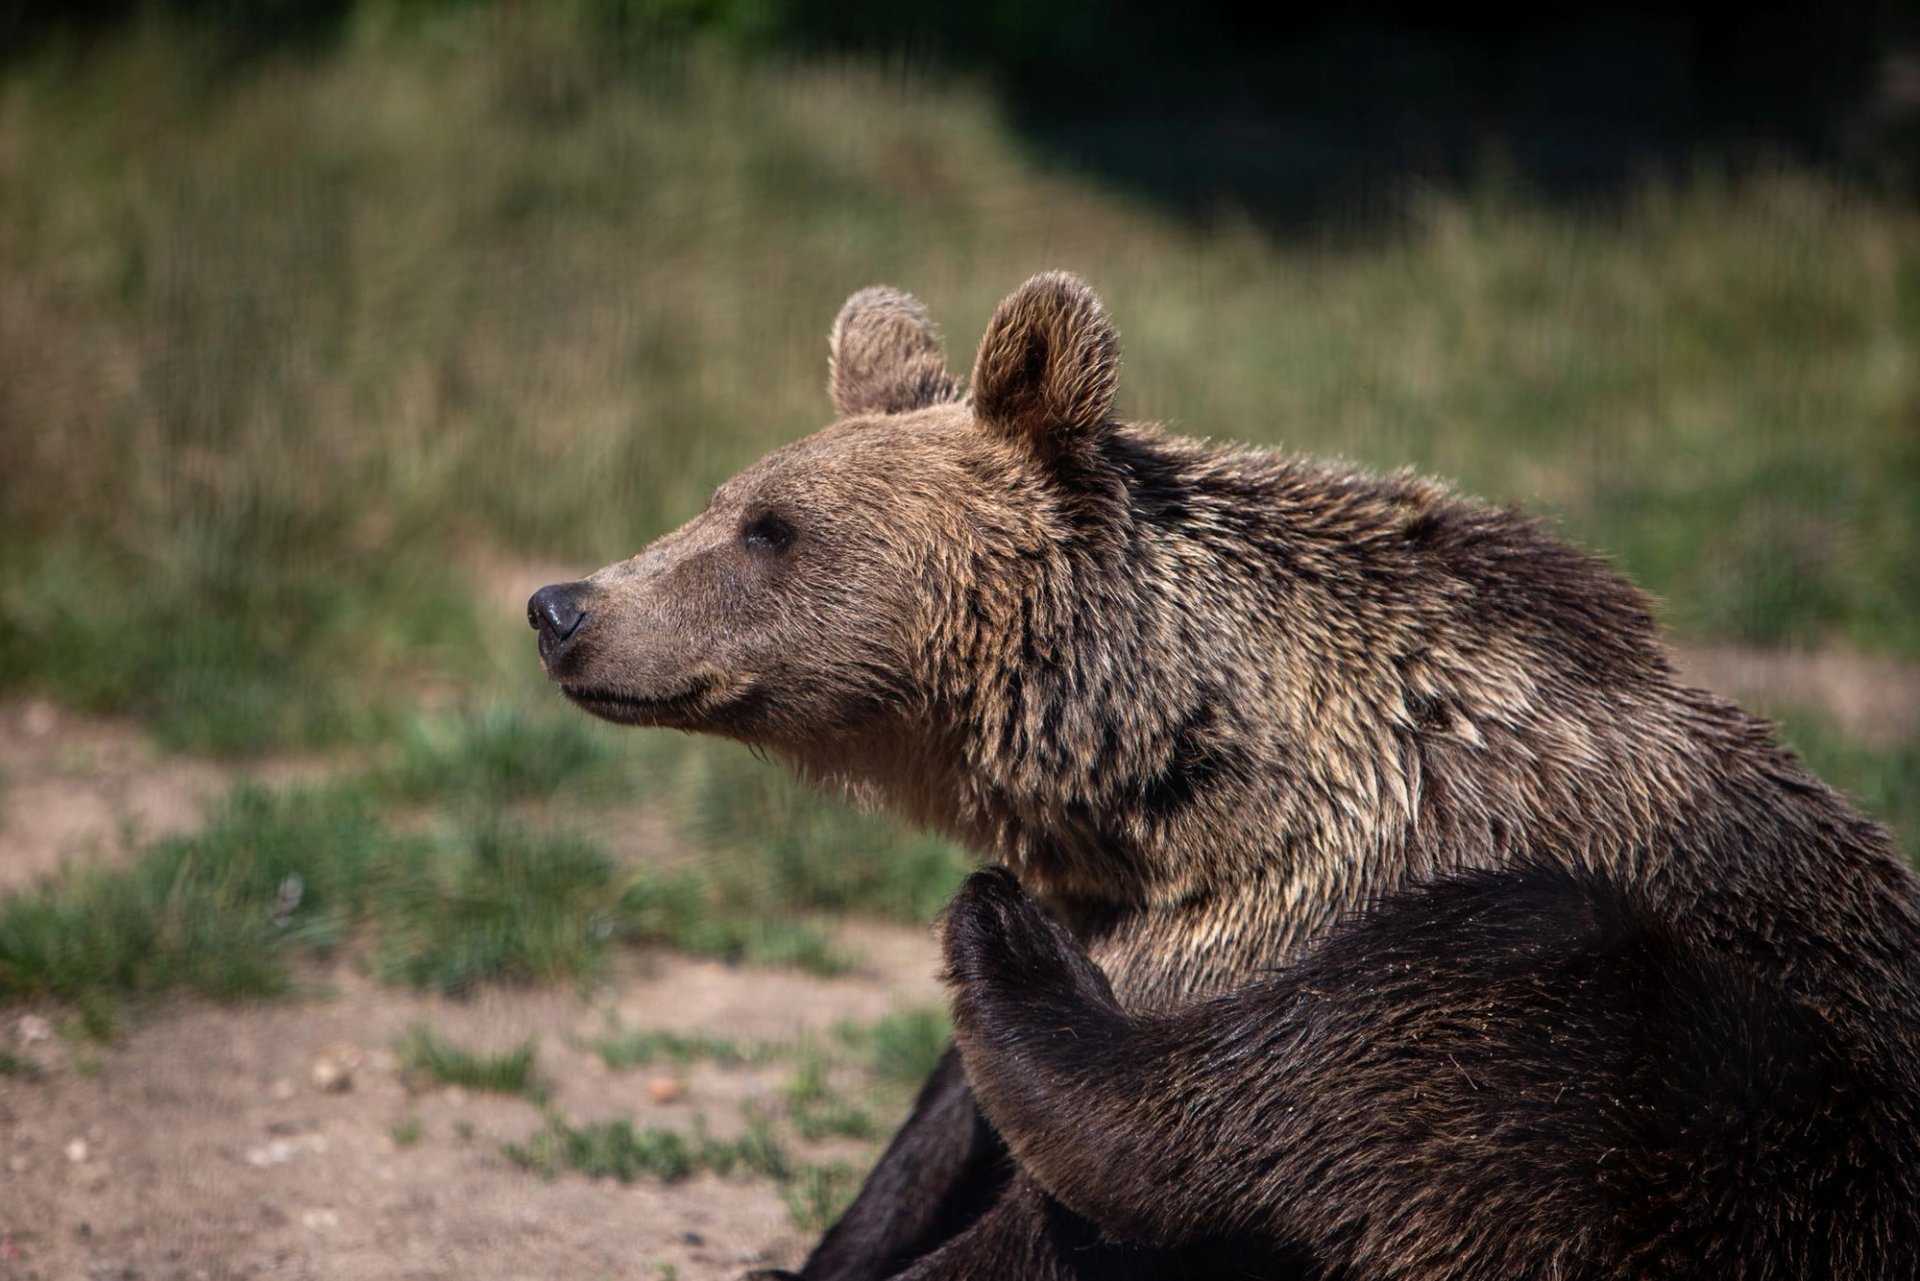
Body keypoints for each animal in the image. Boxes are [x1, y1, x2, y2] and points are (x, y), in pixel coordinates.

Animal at [528, 272, 1920, 1279]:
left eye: (770, 529)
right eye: (724, 496)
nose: (562, 606)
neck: (1182, 799)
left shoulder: (1309, 907)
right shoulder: (1127, 915)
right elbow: (940, 1135)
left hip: (1768, 1114)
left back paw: (1000, 948)